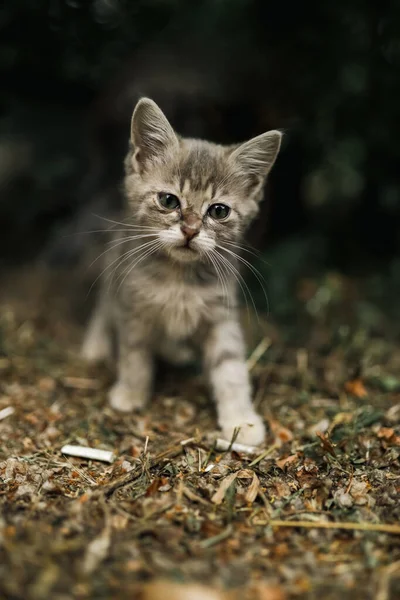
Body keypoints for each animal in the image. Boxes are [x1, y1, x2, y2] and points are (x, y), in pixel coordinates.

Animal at [81, 98, 282, 446]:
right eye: (168, 200)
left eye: (219, 211)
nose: (190, 230)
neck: (179, 278)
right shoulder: (132, 304)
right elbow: (134, 353)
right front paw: (130, 393)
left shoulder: (221, 315)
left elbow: (231, 367)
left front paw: (241, 421)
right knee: (104, 306)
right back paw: (95, 346)